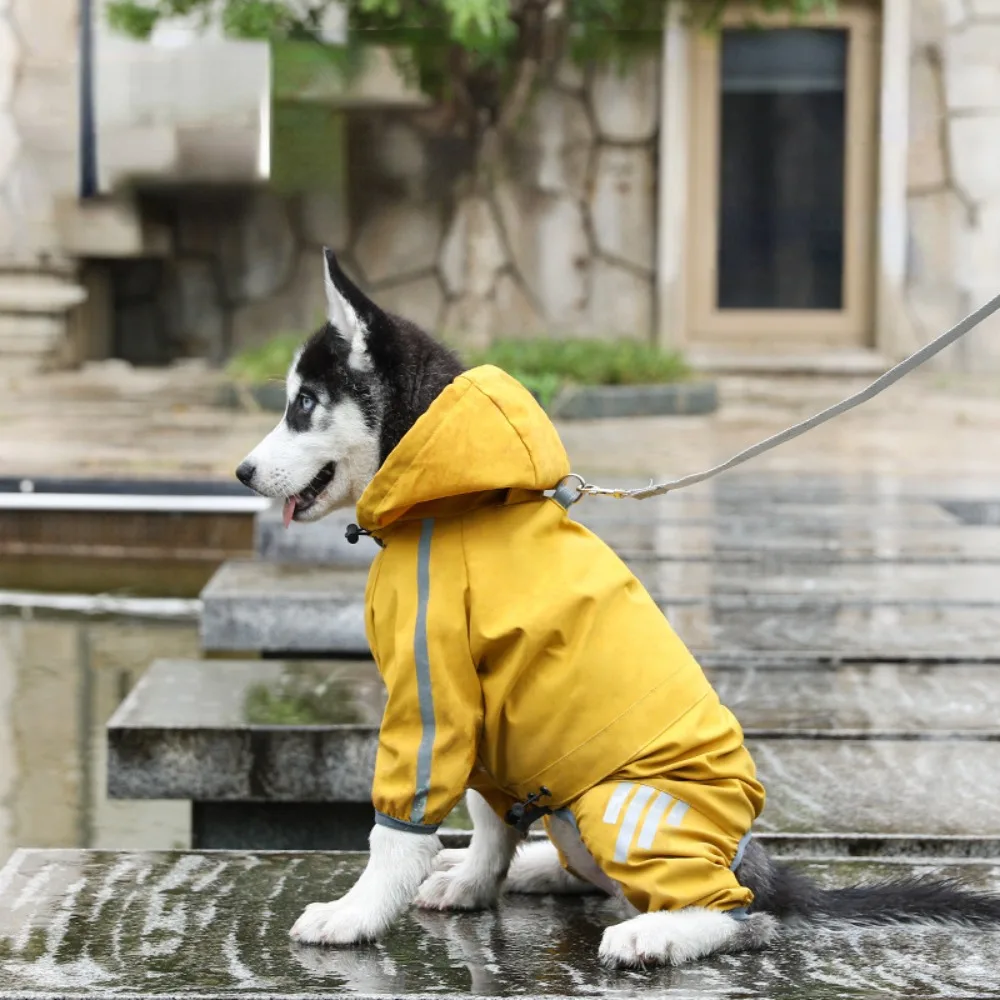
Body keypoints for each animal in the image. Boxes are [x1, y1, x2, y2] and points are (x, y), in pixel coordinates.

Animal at [236, 250, 1000, 968]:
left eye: (304, 403)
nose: (240, 473)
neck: (450, 495)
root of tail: (759, 867)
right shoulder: (487, 716)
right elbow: (489, 820)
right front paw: (475, 882)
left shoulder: (435, 694)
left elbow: (397, 832)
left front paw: (355, 913)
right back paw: (538, 870)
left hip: (626, 802)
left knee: (739, 916)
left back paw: (657, 933)